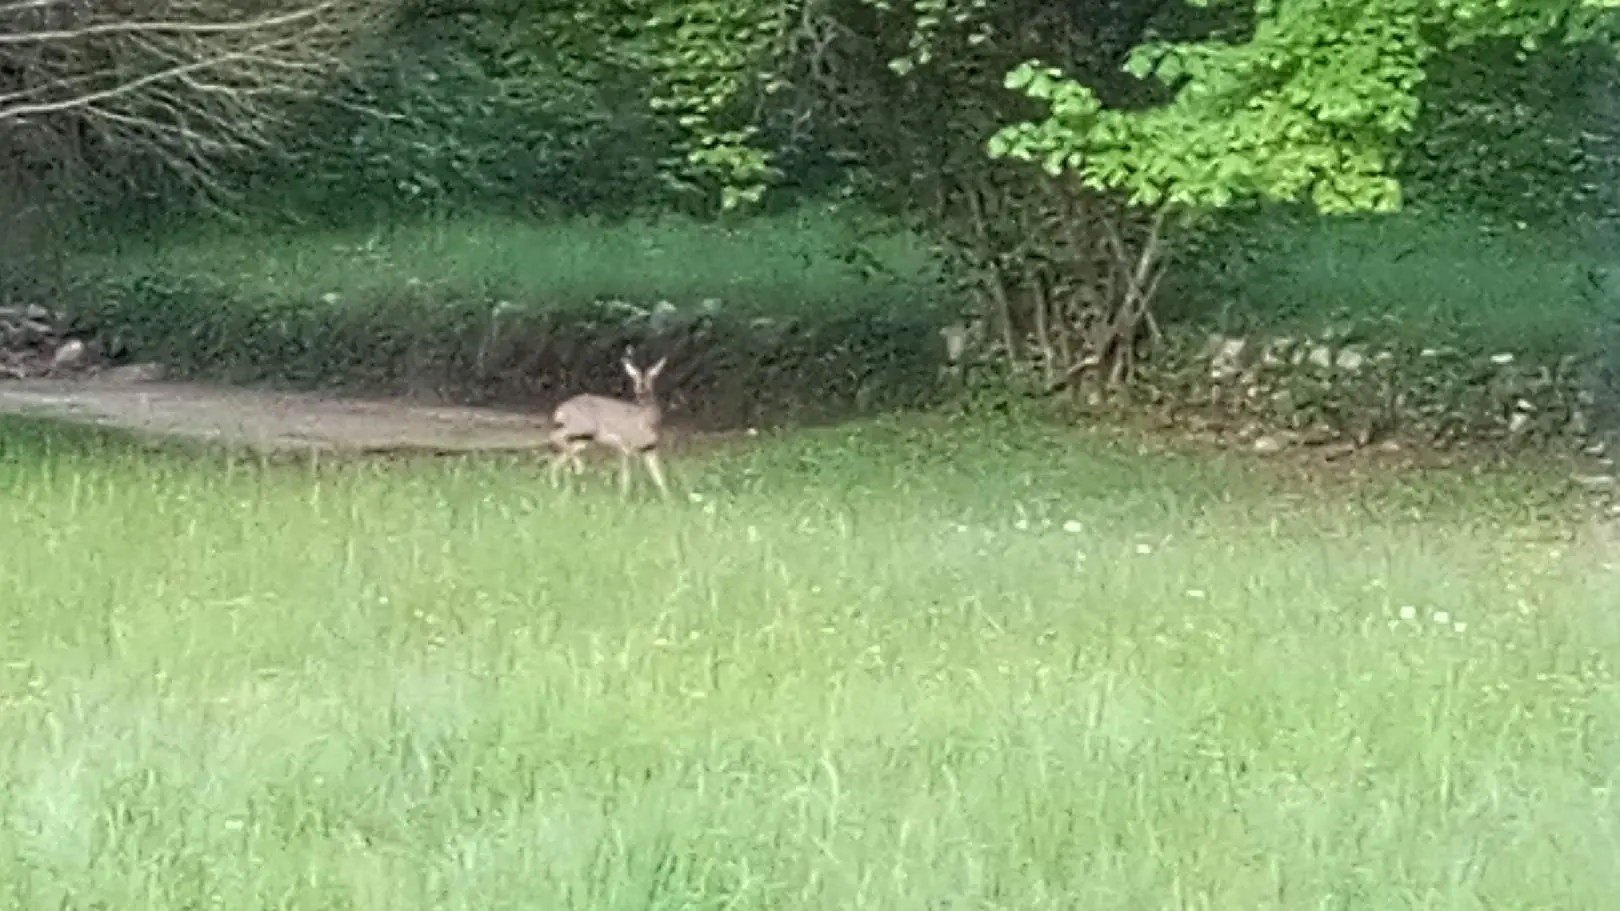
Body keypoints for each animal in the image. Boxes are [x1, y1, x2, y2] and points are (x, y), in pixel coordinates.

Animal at [547, 354, 667, 496]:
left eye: (650, 380)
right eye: (635, 380)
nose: (641, 392)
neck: (647, 419)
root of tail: (561, 409)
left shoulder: (650, 449)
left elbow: (659, 477)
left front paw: (667, 497)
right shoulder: (626, 445)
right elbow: (627, 475)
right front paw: (625, 496)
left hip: (583, 437)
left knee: (560, 454)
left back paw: (558, 483)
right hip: (583, 425)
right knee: (554, 435)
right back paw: (578, 468)